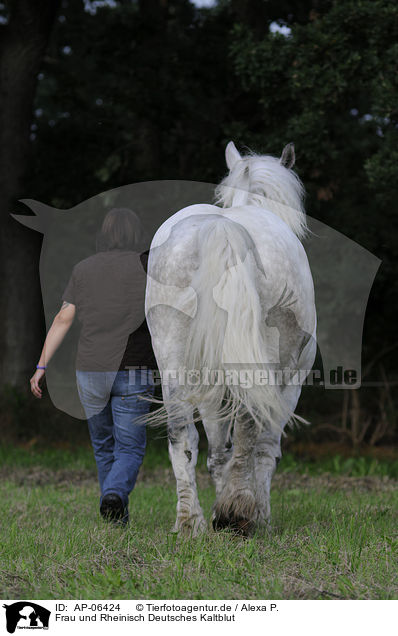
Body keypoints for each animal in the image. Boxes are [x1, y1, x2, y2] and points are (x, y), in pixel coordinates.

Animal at [145, 140, 316, 536]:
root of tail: (221, 228)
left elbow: (217, 449)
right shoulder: (290, 381)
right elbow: (265, 447)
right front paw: (257, 513)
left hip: (174, 357)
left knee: (182, 435)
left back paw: (190, 522)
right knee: (251, 430)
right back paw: (238, 512)